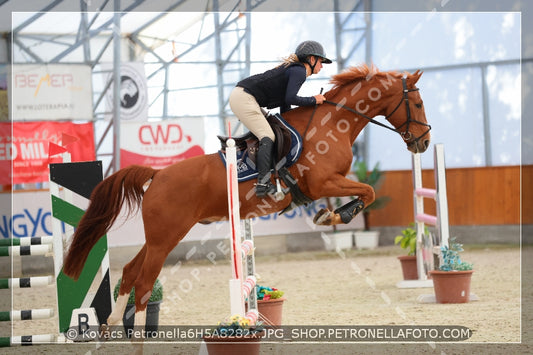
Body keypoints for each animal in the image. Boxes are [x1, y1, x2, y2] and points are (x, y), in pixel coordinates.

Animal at [63, 65, 428, 336]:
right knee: (143, 282)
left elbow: (366, 192)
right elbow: (368, 192)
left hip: (158, 237)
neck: (332, 122)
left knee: (129, 271)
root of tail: (157, 174)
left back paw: (111, 326)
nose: (424, 142)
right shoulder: (323, 181)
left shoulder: (330, 182)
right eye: (419, 104)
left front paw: (330, 215)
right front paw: (335, 216)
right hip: (166, 237)